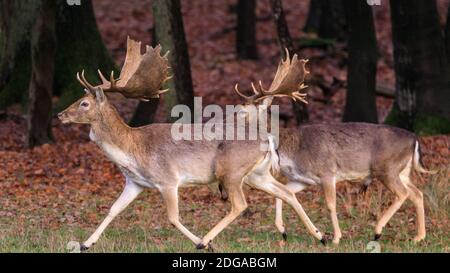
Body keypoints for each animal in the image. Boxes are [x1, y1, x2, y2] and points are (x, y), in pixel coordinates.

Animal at [58, 37, 326, 250]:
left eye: (84, 103)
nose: (60, 114)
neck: (132, 150)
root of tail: (267, 139)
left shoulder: (168, 179)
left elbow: (173, 218)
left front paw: (202, 242)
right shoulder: (135, 183)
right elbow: (113, 209)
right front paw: (85, 243)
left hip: (231, 171)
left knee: (240, 204)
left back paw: (206, 240)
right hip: (256, 174)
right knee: (285, 192)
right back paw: (319, 236)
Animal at [229, 50, 436, 243]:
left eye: (242, 111)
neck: (290, 151)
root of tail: (414, 138)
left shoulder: (327, 172)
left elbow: (330, 205)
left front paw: (336, 238)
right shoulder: (303, 179)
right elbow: (282, 195)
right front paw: (283, 231)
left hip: (387, 168)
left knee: (403, 193)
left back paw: (378, 231)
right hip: (403, 170)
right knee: (417, 193)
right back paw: (419, 237)